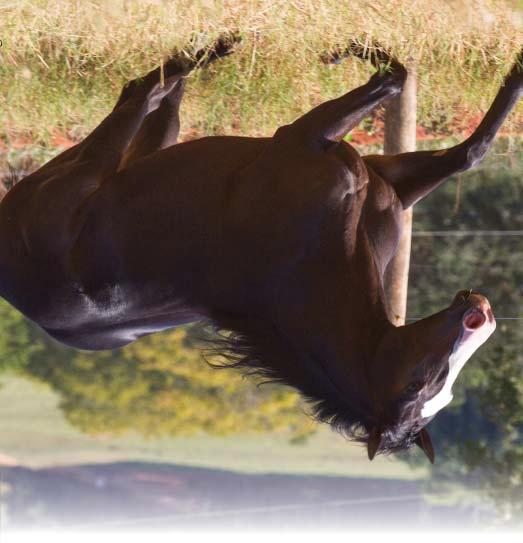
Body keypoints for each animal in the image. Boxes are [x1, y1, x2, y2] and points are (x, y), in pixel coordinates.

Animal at [0, 34, 520, 462]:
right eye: (422, 384)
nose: (481, 314)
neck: (308, 261)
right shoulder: (349, 161)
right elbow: (440, 125)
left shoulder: (349, 162)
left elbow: (437, 122)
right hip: (102, 165)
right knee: (144, 94)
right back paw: (210, 51)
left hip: (111, 165)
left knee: (151, 100)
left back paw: (202, 55)